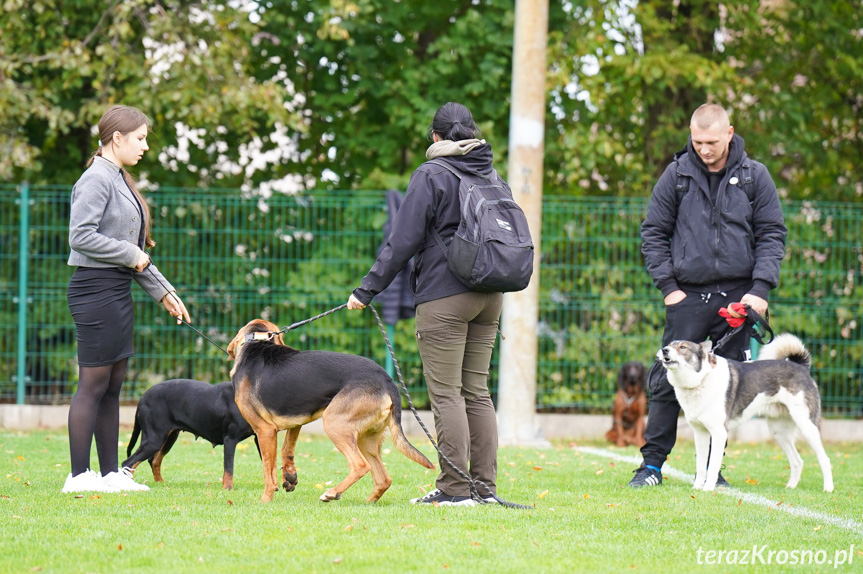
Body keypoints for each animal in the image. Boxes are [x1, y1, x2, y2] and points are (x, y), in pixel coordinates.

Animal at [121, 382, 258, 490]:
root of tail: (143, 397)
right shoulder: (230, 439)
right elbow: (229, 467)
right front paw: (228, 488)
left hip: (168, 438)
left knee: (153, 460)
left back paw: (161, 483)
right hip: (154, 440)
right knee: (128, 463)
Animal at [228, 320, 436, 504]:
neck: (256, 341)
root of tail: (387, 380)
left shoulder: (264, 431)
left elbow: (267, 470)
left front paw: (265, 499)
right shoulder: (295, 420)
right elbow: (286, 450)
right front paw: (289, 477)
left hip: (334, 424)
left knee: (361, 466)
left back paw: (332, 493)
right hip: (366, 439)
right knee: (383, 479)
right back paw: (367, 503)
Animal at [660, 336, 832, 492]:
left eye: (683, 347)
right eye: (669, 345)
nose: (664, 350)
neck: (702, 378)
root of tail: (801, 367)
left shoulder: (719, 433)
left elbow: (713, 464)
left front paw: (708, 489)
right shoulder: (700, 433)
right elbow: (701, 465)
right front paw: (696, 488)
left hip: (807, 427)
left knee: (825, 459)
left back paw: (828, 488)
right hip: (779, 433)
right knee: (797, 461)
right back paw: (790, 487)